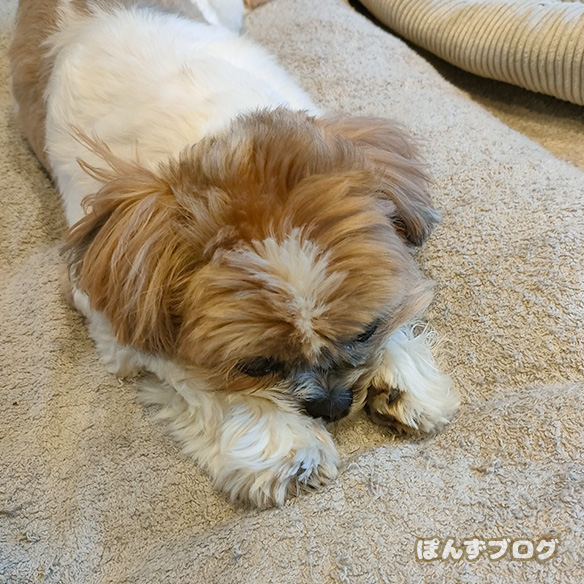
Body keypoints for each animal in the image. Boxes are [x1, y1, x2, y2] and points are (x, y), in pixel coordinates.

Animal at [10, 0, 459, 507]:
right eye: (256, 365)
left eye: (366, 331)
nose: (332, 403)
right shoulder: (109, 311)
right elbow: (194, 376)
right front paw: (286, 445)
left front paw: (404, 377)